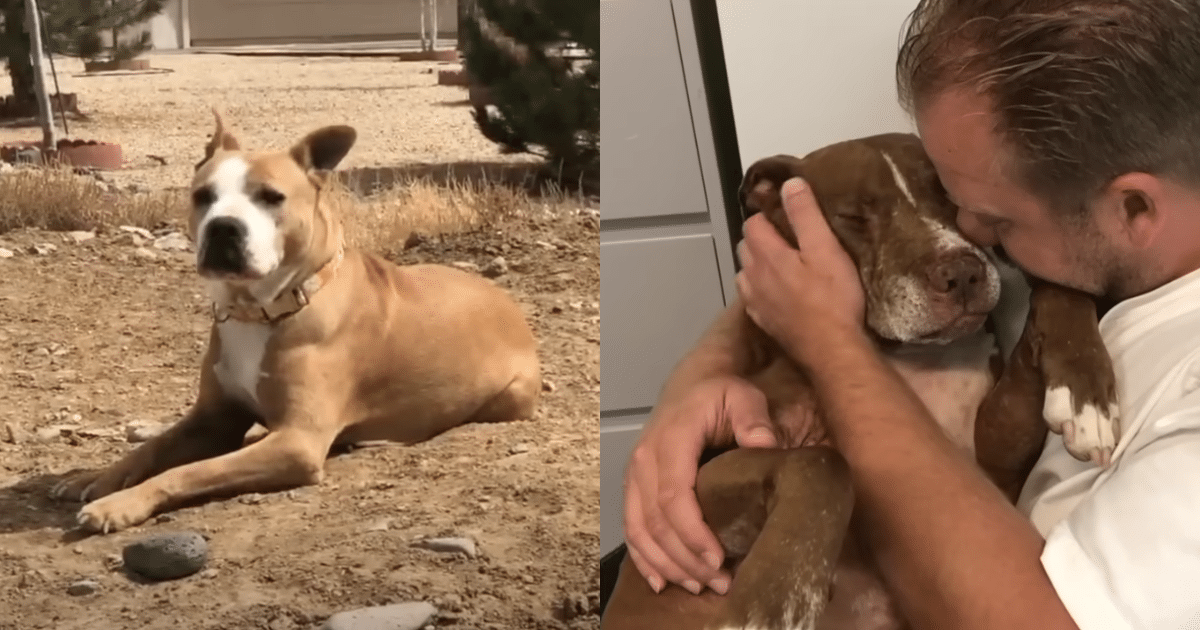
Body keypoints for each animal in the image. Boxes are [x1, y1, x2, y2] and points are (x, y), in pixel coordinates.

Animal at [49, 111, 542, 530]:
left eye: (271, 197)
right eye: (202, 196)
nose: (223, 227)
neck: (258, 311)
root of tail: (506, 300)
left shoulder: (296, 442)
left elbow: (191, 471)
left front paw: (120, 504)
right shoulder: (213, 416)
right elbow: (152, 447)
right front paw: (96, 477)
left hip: (509, 398)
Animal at [604, 132, 1118, 628]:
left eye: (950, 200)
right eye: (853, 215)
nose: (963, 271)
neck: (911, 358)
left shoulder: (994, 459)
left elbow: (1062, 286)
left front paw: (1086, 396)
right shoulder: (696, 502)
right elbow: (824, 462)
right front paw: (775, 601)